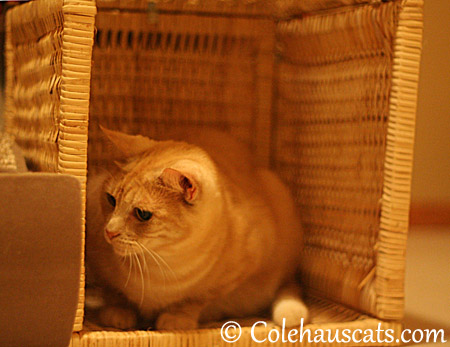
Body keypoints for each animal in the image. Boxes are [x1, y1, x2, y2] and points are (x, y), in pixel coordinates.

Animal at [85, 128, 308, 332]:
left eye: (143, 214)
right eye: (111, 199)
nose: (109, 231)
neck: (162, 264)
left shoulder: (237, 271)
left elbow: (194, 299)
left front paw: (176, 319)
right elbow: (114, 292)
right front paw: (118, 311)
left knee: (289, 285)